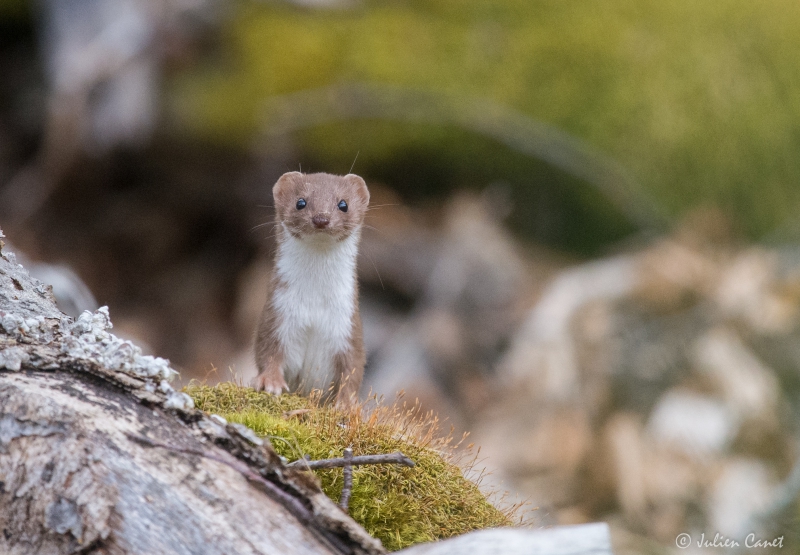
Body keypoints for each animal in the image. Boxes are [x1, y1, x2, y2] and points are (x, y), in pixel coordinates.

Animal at [252, 172, 370, 406]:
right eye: (301, 202)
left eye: (343, 204)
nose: (321, 218)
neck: (315, 304)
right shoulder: (277, 313)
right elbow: (267, 350)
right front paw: (271, 381)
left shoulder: (348, 326)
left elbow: (353, 367)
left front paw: (346, 404)